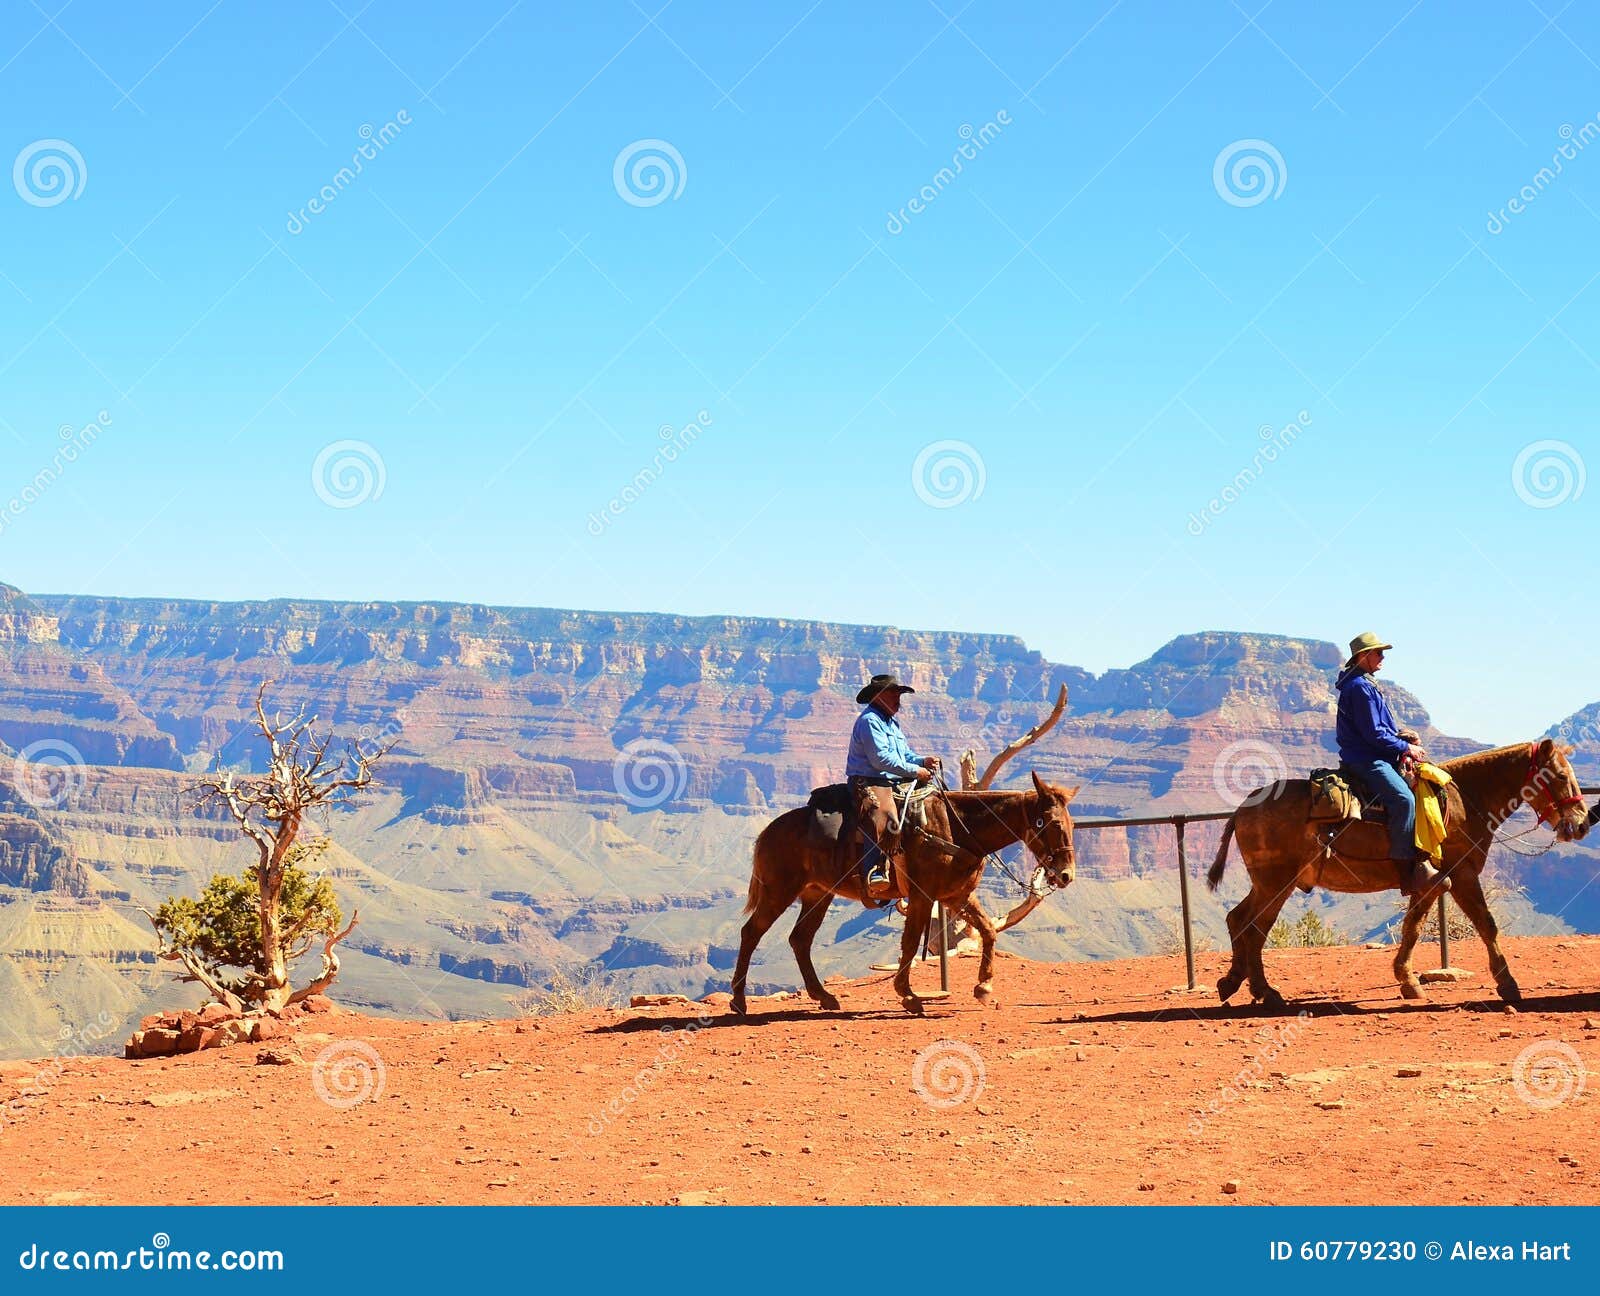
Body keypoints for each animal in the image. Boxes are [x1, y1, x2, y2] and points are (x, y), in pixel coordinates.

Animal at [729, 771, 1077, 1017]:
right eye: (1051, 823)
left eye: (1072, 824)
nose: (1066, 875)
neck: (957, 829)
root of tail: (769, 830)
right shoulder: (923, 896)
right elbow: (909, 942)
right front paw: (908, 995)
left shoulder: (956, 896)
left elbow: (988, 930)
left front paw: (984, 987)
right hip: (779, 890)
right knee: (752, 933)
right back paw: (739, 1002)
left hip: (818, 894)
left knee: (800, 939)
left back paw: (824, 996)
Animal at [1206, 737, 1590, 1007]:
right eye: (1559, 776)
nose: (1583, 823)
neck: (1466, 799)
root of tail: (1243, 808)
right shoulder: (1461, 875)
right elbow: (1486, 924)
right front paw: (1507, 983)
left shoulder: (1430, 881)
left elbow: (1412, 927)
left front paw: (1407, 980)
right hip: (1276, 883)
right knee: (1253, 927)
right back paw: (1264, 991)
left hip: (1270, 884)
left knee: (1240, 920)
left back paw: (1236, 982)